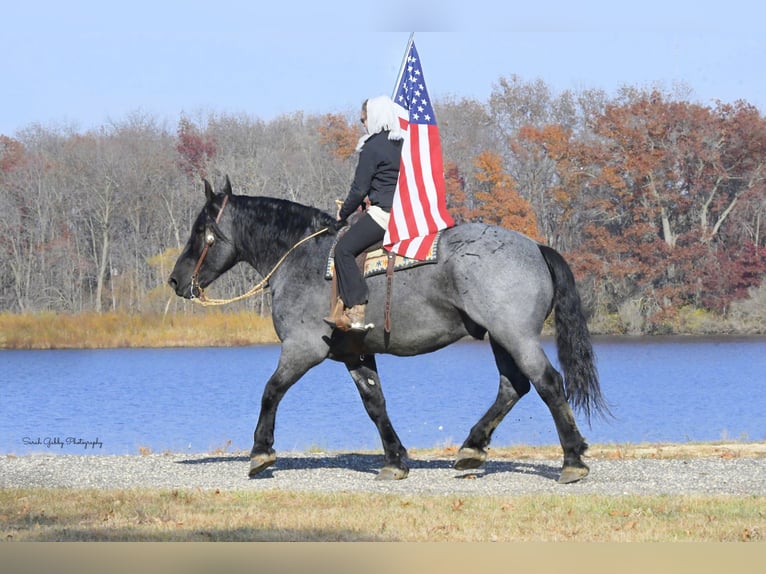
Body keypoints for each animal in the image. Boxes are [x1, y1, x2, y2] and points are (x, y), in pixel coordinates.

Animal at [170, 178, 612, 484]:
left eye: (199, 230)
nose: (176, 281)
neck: (302, 256)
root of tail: (535, 246)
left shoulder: (303, 348)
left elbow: (271, 391)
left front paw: (261, 452)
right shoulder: (355, 353)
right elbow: (375, 403)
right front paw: (395, 459)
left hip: (515, 336)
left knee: (548, 383)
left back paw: (572, 458)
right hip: (501, 339)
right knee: (513, 387)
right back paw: (472, 448)